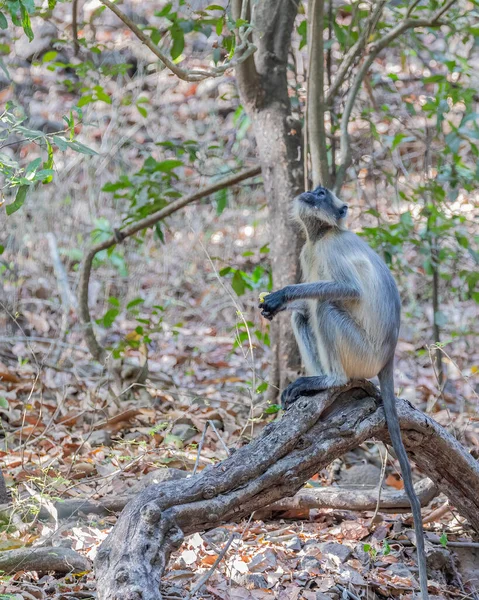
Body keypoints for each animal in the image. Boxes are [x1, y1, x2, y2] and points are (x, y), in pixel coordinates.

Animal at [260, 185, 430, 596]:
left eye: (321, 193)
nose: (309, 192)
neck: (320, 235)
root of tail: (388, 356)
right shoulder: (309, 250)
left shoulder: (330, 248)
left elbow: (346, 289)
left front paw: (282, 294)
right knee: (306, 313)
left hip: (362, 352)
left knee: (325, 307)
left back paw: (330, 380)